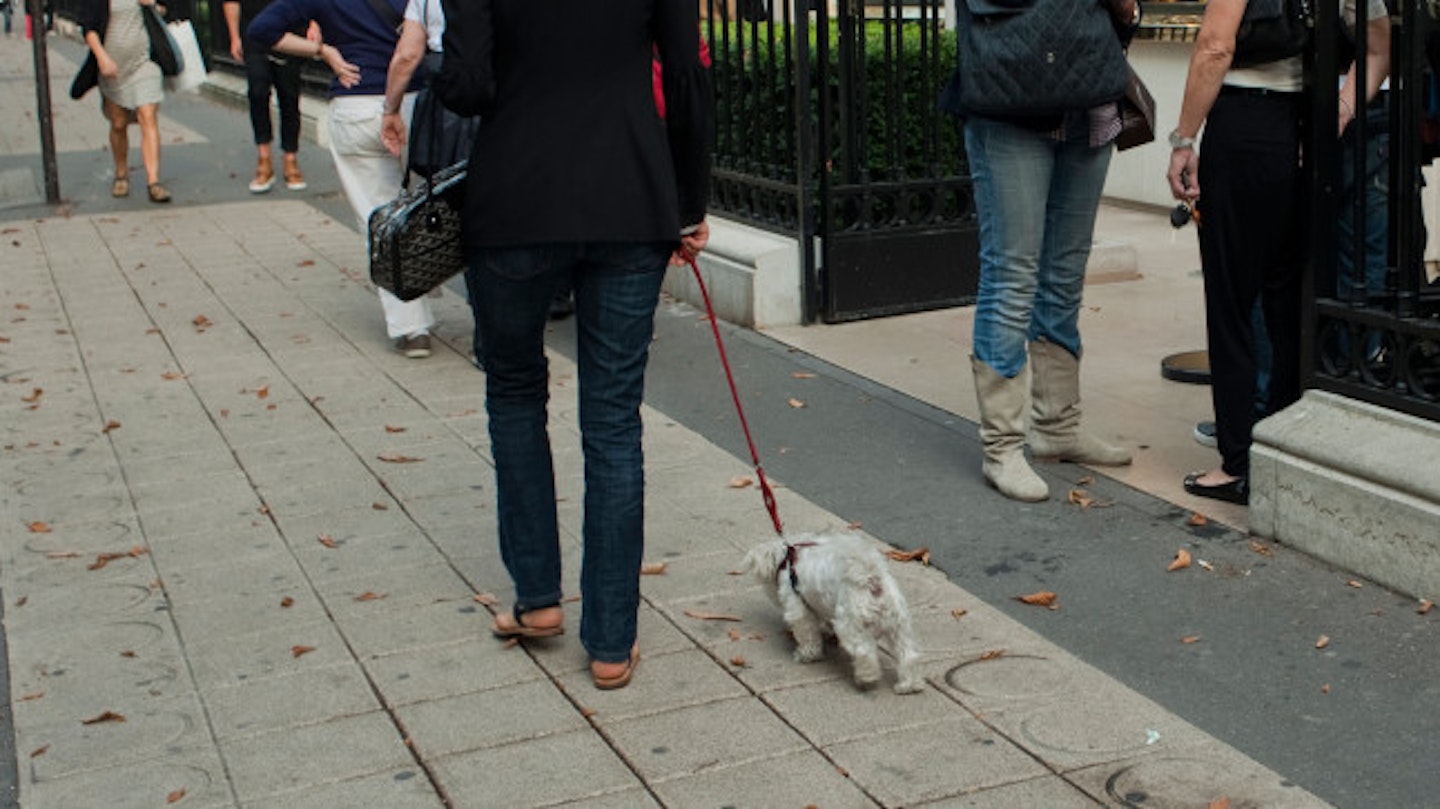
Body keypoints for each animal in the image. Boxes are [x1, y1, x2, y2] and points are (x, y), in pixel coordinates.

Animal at [743, 529, 921, 693]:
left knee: (864, 652)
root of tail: (872, 579)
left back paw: (866, 677)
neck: (788, 560)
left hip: (850, 625)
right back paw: (909, 685)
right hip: (898, 625)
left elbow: (808, 636)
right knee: (908, 654)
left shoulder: (799, 609)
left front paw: (807, 655)